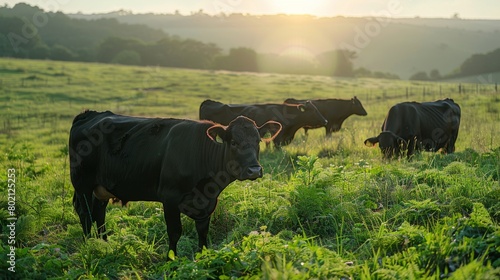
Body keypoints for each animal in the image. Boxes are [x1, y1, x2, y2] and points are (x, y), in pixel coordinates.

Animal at [69, 110, 282, 260]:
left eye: (258, 141)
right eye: (234, 142)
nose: (254, 170)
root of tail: (90, 114)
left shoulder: (208, 202)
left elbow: (203, 231)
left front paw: (203, 256)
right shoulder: (169, 198)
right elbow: (175, 231)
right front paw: (171, 260)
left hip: (101, 188)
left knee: (99, 214)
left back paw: (105, 244)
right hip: (82, 184)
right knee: (85, 214)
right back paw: (90, 245)